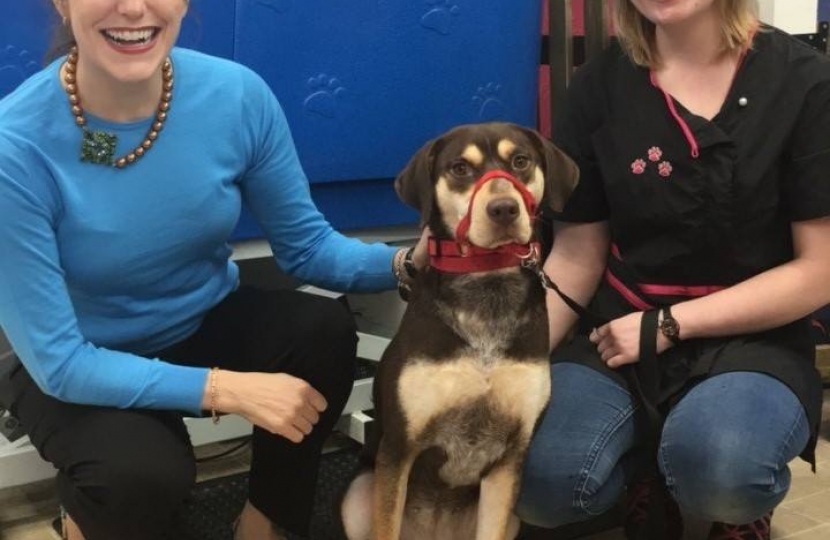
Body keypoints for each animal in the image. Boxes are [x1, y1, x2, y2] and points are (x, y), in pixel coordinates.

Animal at [338, 122, 580, 540]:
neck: (486, 289)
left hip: (513, 517)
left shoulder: (509, 460)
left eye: (521, 161)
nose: (504, 209)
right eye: (460, 168)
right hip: (357, 495)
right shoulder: (399, 448)